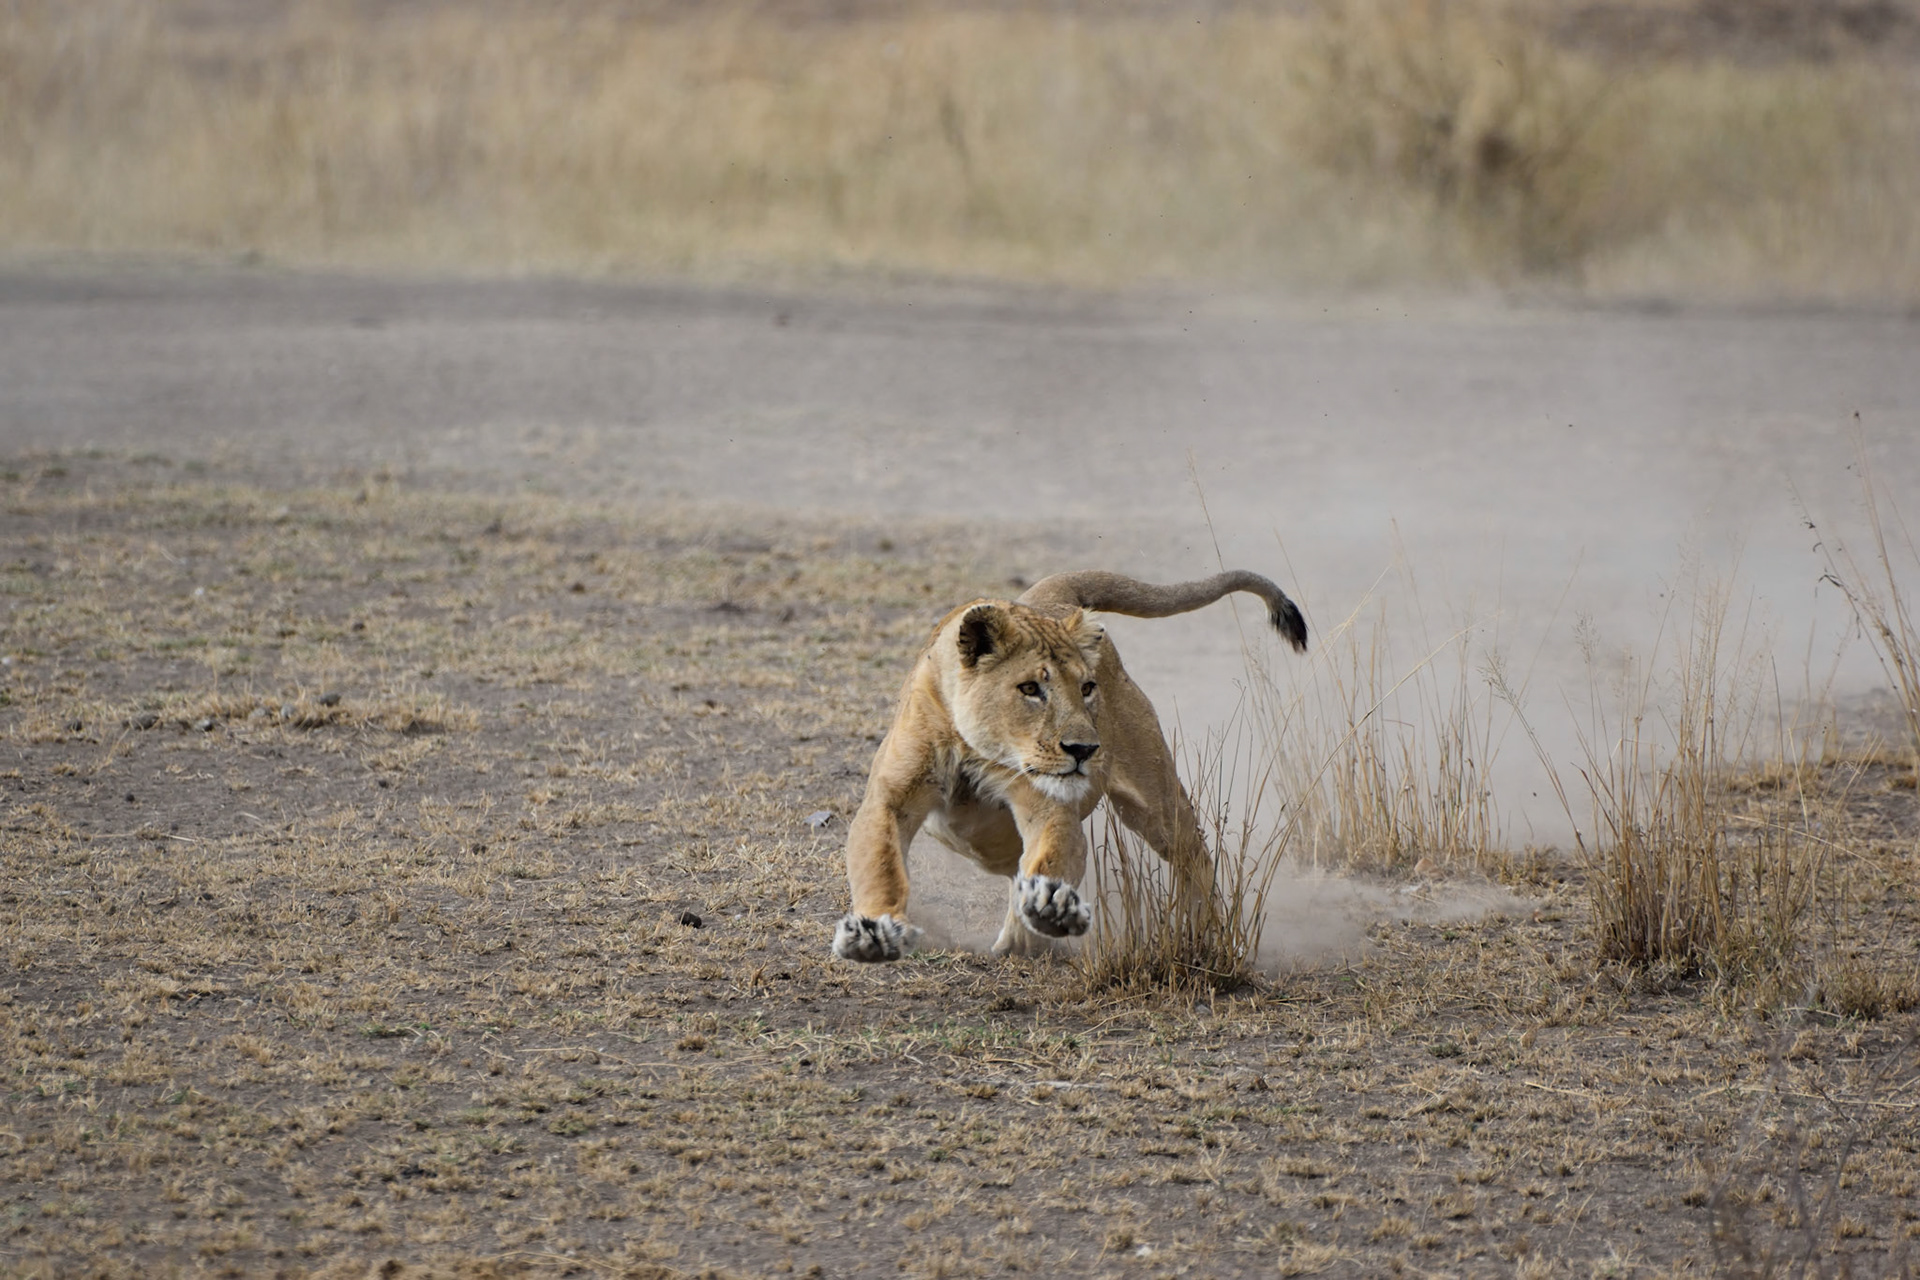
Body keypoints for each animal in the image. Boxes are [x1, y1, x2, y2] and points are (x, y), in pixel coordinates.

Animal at [832, 569, 1307, 962]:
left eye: (1087, 688)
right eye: (1030, 689)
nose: (1084, 749)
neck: (977, 747)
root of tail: (1051, 594)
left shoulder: (1049, 805)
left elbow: (1053, 855)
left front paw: (1049, 911)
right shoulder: (890, 800)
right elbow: (881, 864)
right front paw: (874, 932)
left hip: (1155, 804)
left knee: (1195, 856)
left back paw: (1213, 936)